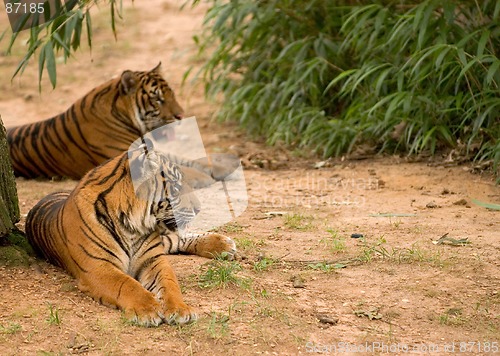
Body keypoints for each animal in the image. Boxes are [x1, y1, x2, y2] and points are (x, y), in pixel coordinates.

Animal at [25, 146, 238, 326]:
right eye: (176, 188)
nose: (199, 209)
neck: (132, 224)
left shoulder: (153, 259)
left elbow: (170, 283)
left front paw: (180, 310)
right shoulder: (97, 266)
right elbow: (126, 284)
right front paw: (148, 310)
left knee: (175, 239)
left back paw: (224, 245)